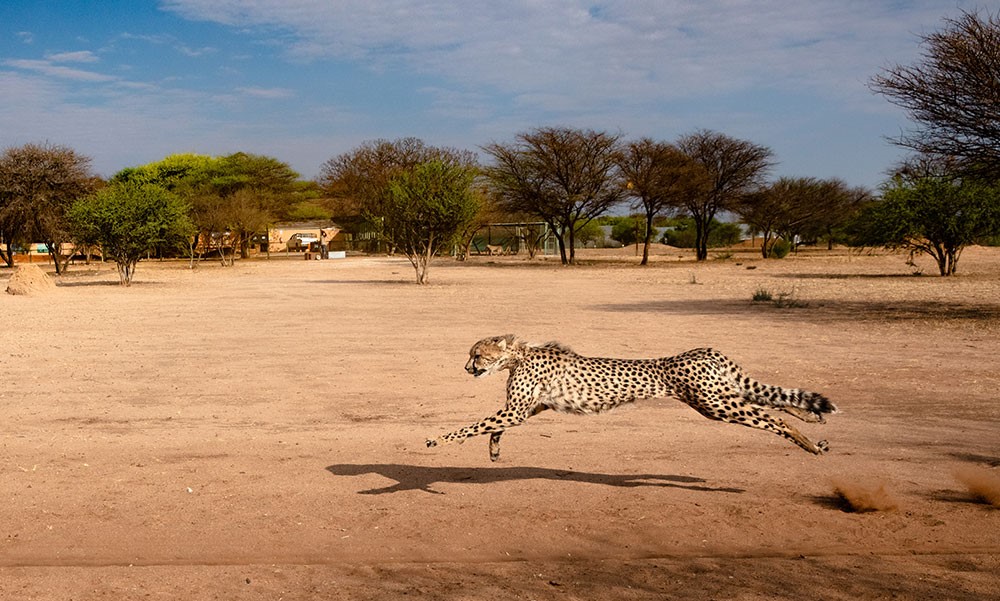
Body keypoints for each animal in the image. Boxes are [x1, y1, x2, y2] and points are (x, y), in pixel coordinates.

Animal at [426, 335, 837, 462]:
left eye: (477, 355)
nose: (466, 368)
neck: (521, 354)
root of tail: (705, 350)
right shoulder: (527, 409)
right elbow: (492, 427)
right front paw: (494, 450)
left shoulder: (517, 410)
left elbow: (473, 425)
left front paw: (437, 439)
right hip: (721, 395)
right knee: (775, 400)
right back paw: (815, 423)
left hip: (716, 405)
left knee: (774, 418)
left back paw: (808, 444)